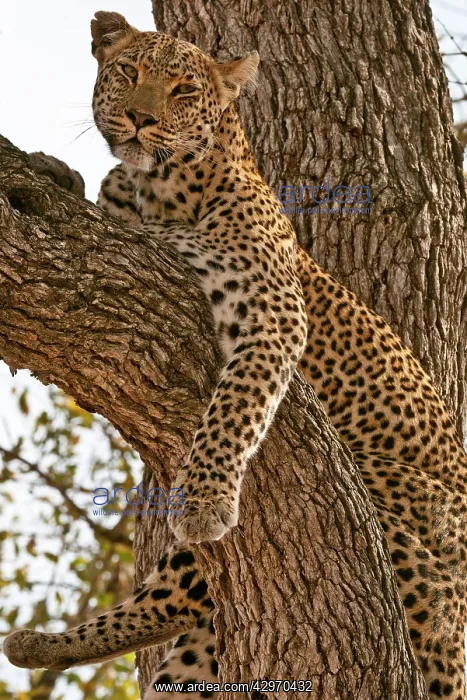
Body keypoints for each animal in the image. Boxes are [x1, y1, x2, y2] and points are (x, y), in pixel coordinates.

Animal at [4, 11, 467, 700]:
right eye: (128, 72)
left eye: (183, 91)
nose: (139, 118)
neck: (158, 192)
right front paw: (52, 175)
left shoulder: (272, 308)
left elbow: (237, 405)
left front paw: (206, 500)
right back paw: (44, 645)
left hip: (396, 498)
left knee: (175, 595)